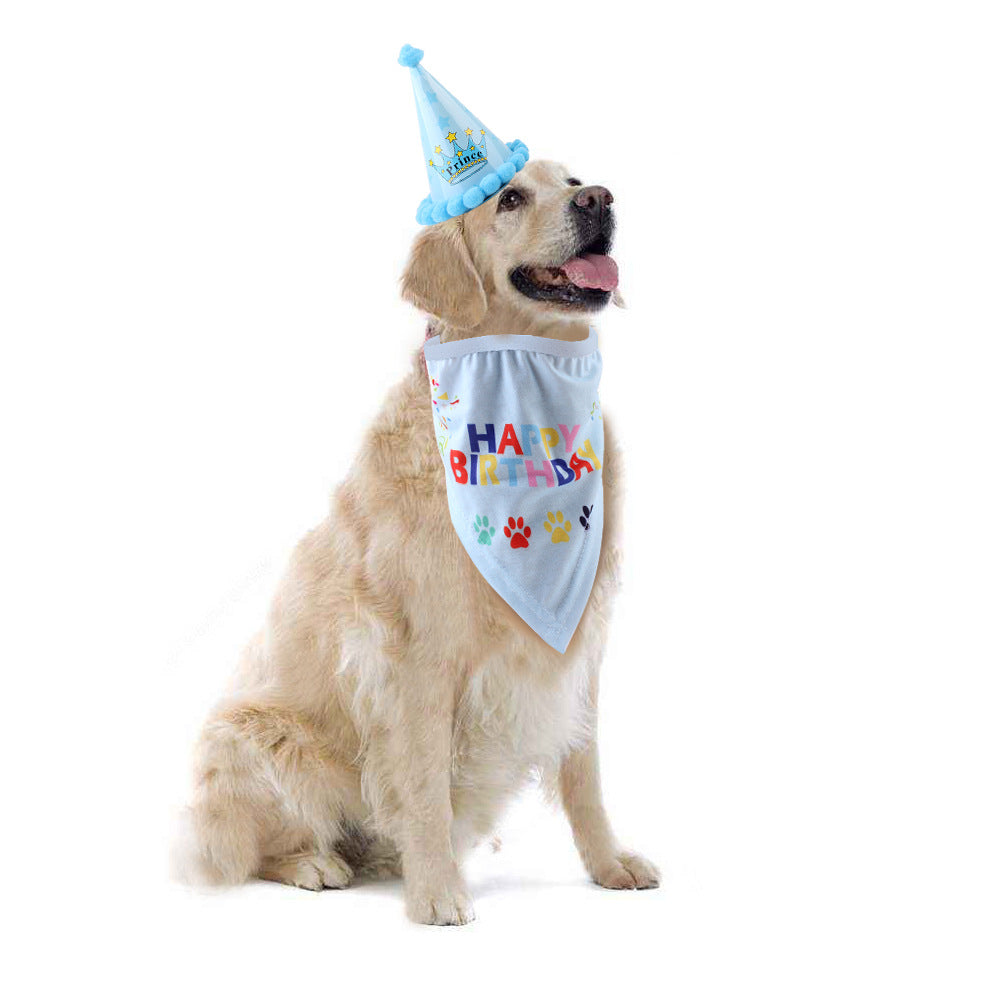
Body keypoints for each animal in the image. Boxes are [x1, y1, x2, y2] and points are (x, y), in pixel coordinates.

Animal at [184, 160, 660, 924]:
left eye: (574, 179)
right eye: (509, 198)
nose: (599, 200)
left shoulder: (579, 647)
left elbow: (584, 778)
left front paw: (609, 864)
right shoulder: (417, 658)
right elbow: (427, 785)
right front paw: (436, 892)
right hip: (256, 735)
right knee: (247, 849)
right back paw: (316, 862)